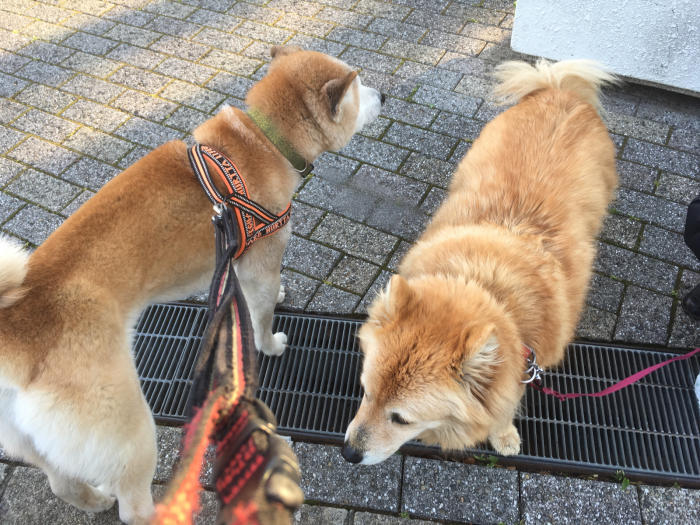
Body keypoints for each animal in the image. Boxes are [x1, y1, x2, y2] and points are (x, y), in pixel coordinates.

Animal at [0, 47, 382, 520]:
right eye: (360, 89)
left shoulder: (240, 262)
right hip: (129, 429)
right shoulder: (261, 263)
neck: (264, 141)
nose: (384, 95)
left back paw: (94, 499)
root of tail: (19, 326)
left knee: (61, 481)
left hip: (36, 441)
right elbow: (260, 317)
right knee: (130, 505)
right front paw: (271, 344)